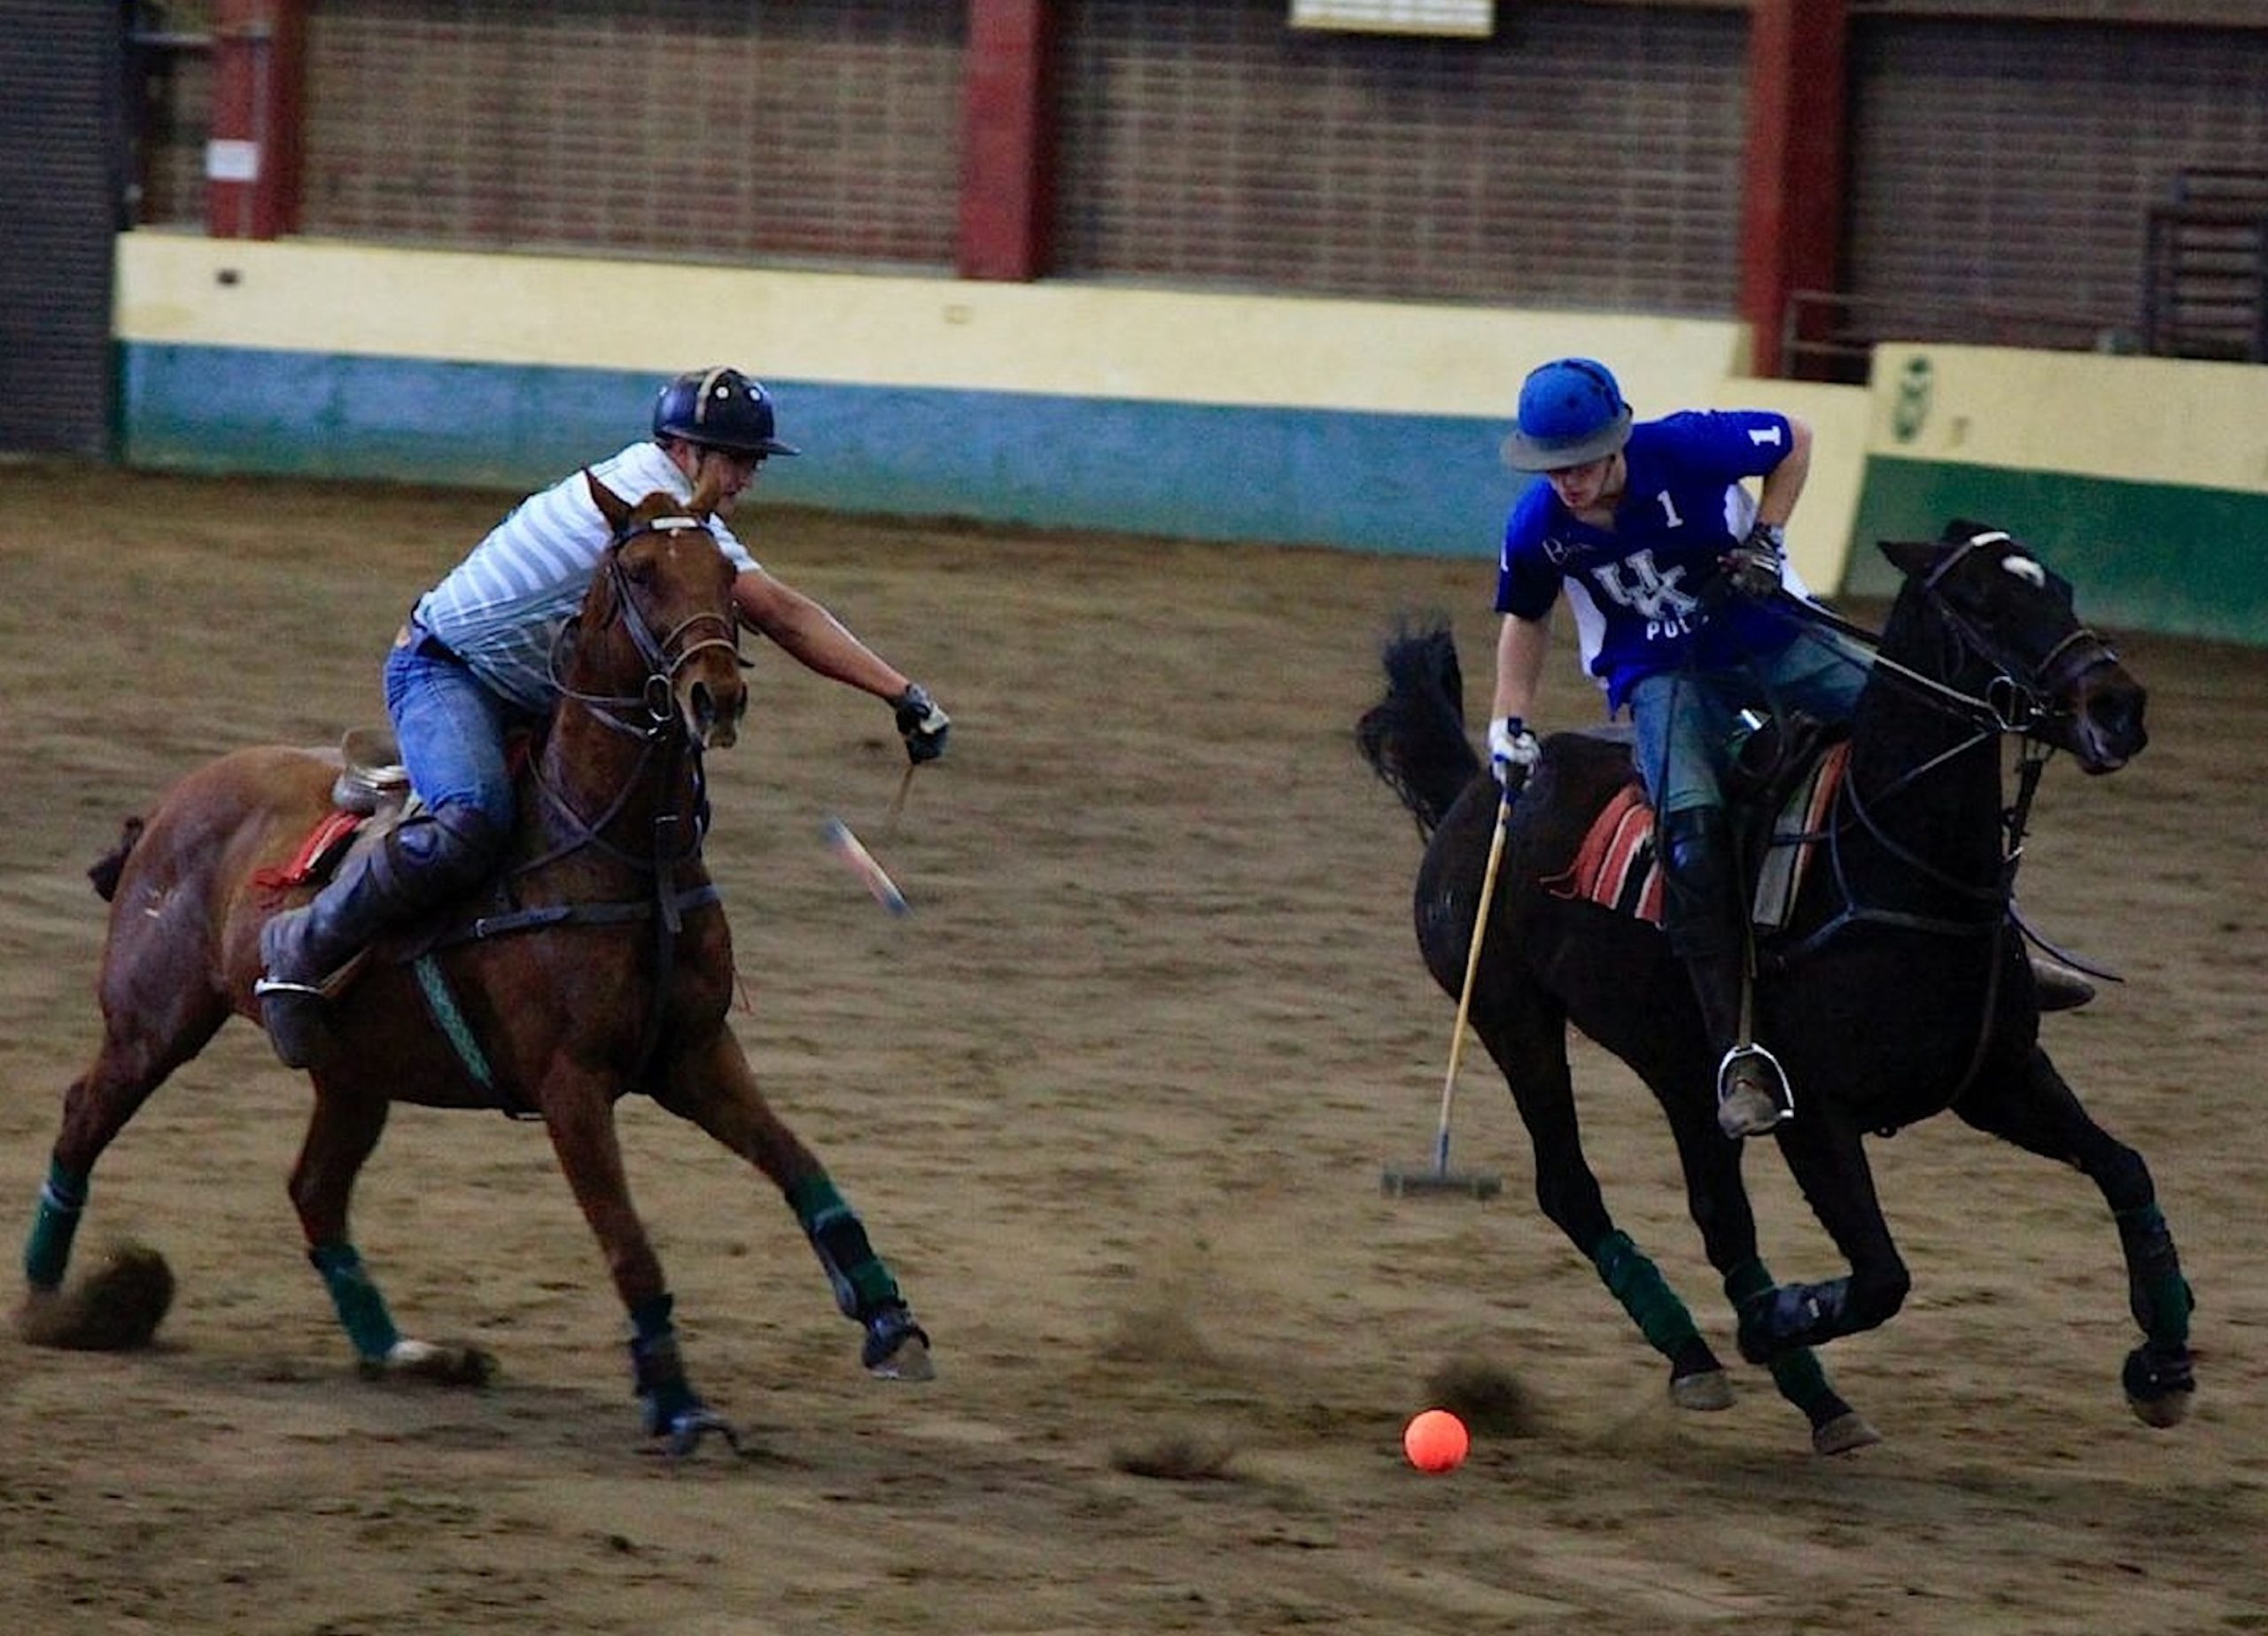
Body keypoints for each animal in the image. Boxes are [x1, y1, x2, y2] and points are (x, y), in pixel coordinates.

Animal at [21, 471, 925, 1452]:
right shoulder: (571, 1082)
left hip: (352, 1070)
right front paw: (678, 1402)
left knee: (314, 1189)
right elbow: (629, 1241)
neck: (613, 845)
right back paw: (50, 1303)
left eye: (727, 573)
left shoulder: (694, 1051)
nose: (714, 697)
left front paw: (889, 1318)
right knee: (82, 1119)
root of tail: (164, 807)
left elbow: (799, 1164)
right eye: (643, 572)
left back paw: (404, 1353)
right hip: (153, 1022)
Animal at [1361, 519, 2195, 1443]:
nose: (2117, 706)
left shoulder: (1999, 1076)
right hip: (1513, 1017)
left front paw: (2162, 1363)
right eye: (1980, 600)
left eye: (2062, 587)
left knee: (1719, 1215)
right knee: (1570, 1186)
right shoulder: (1817, 1118)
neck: (1894, 870)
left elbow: (2125, 1169)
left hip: (1682, 1070)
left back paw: (1808, 1395)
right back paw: (1705, 1354)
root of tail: (1481, 790)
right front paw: (1770, 1324)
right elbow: (1882, 1275)